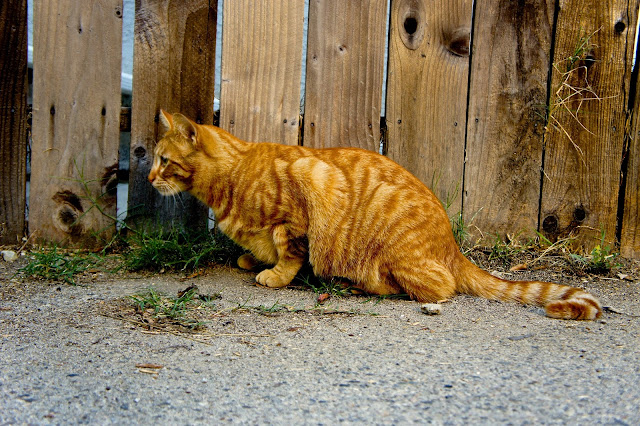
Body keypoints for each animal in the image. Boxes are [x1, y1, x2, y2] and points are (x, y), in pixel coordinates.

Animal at [148, 110, 602, 320]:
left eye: (164, 160)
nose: (149, 177)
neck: (232, 178)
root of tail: (453, 248)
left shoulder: (306, 194)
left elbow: (290, 251)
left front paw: (274, 274)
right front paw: (251, 258)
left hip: (396, 254)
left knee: (436, 289)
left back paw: (359, 284)